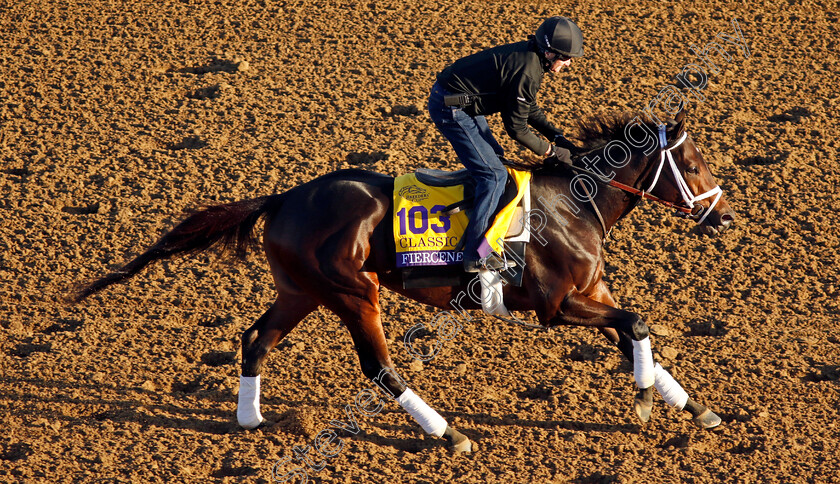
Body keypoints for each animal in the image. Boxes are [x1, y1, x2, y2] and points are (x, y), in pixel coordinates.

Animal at [75, 110, 740, 454]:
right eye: (693, 163)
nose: (727, 216)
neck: (575, 202)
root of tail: (284, 198)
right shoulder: (557, 305)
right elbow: (638, 325)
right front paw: (645, 401)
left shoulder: (591, 295)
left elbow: (636, 333)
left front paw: (699, 410)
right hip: (352, 291)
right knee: (379, 368)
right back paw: (450, 435)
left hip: (301, 291)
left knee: (255, 340)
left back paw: (250, 420)